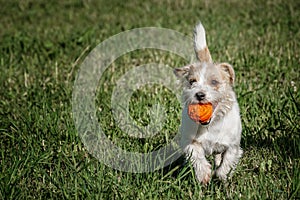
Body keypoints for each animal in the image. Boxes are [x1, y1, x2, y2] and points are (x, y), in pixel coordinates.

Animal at [175, 22, 243, 184]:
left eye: (214, 82)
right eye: (192, 81)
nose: (199, 94)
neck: (210, 126)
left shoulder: (233, 146)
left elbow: (227, 161)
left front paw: (222, 176)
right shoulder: (190, 142)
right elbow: (196, 156)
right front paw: (204, 174)